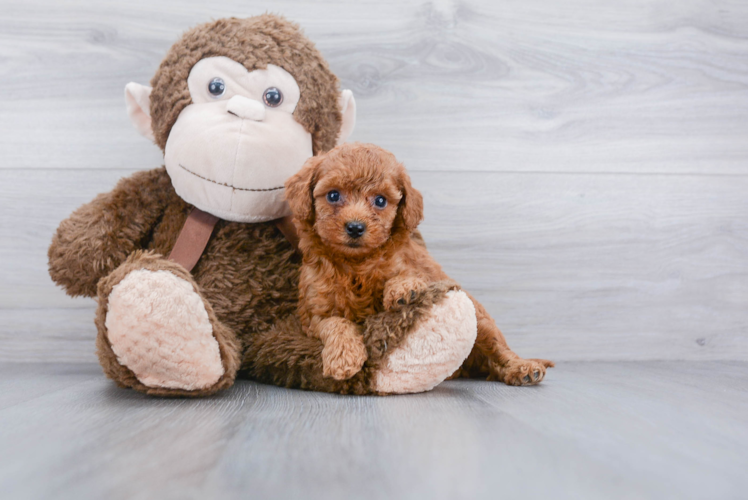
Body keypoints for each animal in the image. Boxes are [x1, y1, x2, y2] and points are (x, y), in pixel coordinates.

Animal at [284, 143, 552, 384]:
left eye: (380, 201)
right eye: (333, 195)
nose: (355, 227)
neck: (356, 264)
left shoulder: (418, 266)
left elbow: (407, 274)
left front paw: (404, 289)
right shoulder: (314, 313)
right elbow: (336, 323)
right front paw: (343, 359)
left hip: (483, 323)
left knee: (498, 352)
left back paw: (523, 368)